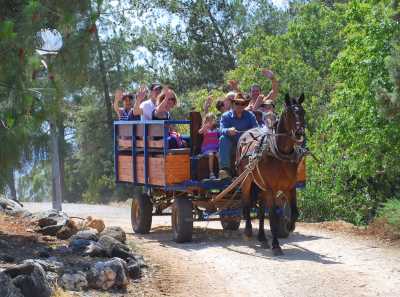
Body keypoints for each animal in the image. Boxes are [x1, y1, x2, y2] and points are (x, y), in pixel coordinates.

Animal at [238, 93, 306, 254]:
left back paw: (262, 237)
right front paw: (276, 245)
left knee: (261, 209)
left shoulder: (290, 188)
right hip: (246, 180)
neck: (280, 154)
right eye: (288, 113)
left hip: (261, 186)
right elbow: (273, 215)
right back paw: (248, 231)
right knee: (246, 202)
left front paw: (289, 226)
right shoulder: (271, 188)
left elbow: (294, 212)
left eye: (303, 112)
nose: (299, 133)